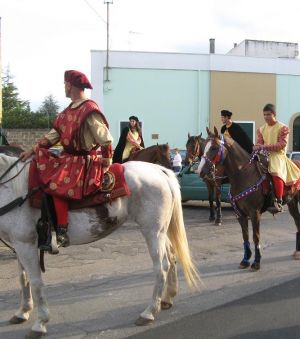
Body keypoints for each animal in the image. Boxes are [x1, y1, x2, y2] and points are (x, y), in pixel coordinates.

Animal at [0, 155, 202, 339]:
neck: (13, 190)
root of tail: (160, 170)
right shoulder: (20, 245)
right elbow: (23, 278)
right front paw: (22, 312)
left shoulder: (26, 245)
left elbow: (35, 283)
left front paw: (40, 323)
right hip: (161, 232)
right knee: (172, 257)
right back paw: (167, 299)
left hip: (153, 232)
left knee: (161, 268)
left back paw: (149, 312)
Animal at [197, 127, 300, 270]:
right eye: (203, 146)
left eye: (214, 147)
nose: (200, 171)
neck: (243, 175)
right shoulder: (240, 214)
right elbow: (245, 236)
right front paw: (245, 259)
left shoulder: (254, 213)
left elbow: (255, 237)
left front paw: (256, 261)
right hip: (292, 203)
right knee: (297, 221)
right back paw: (297, 251)